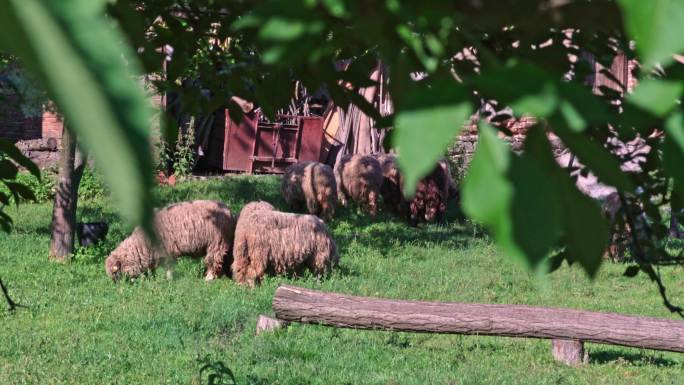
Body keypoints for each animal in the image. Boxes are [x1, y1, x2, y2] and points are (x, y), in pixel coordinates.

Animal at [104, 201, 236, 280]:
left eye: (116, 273)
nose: (119, 287)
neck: (142, 244)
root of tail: (228, 210)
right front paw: (153, 277)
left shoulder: (168, 252)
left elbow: (168, 268)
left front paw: (168, 279)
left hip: (216, 243)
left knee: (214, 260)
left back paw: (209, 278)